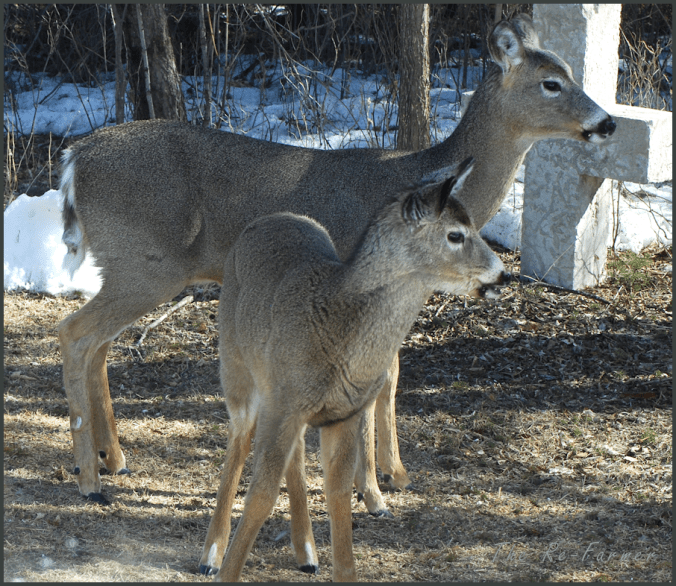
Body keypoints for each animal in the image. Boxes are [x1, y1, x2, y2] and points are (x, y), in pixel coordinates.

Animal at [57, 13, 615, 521]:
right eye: (551, 82)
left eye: (570, 71)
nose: (607, 123)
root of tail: (75, 157)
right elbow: (376, 382)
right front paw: (373, 492)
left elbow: (391, 376)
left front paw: (396, 472)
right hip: (147, 265)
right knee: (75, 333)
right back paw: (89, 479)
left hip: (124, 265)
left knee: (98, 344)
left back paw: (114, 458)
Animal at [201, 159, 509, 581]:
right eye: (456, 234)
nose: (503, 274)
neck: (335, 325)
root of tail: (268, 218)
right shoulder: (284, 403)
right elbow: (261, 496)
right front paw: (228, 571)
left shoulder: (340, 414)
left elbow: (338, 494)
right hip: (236, 365)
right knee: (238, 437)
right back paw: (212, 553)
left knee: (294, 453)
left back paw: (306, 551)